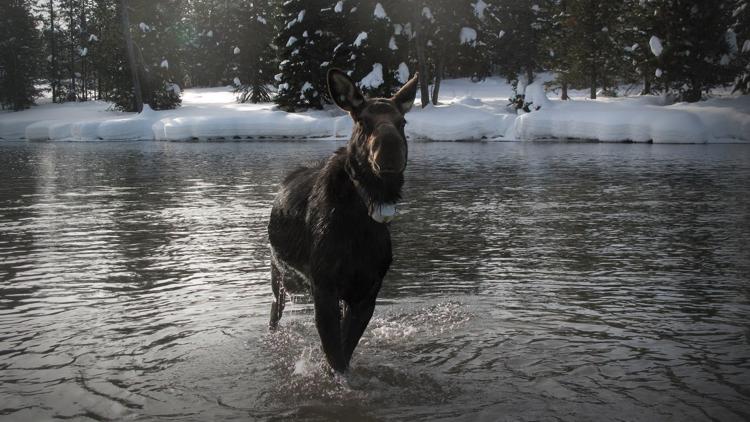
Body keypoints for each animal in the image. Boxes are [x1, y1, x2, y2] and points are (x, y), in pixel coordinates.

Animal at [268, 68, 420, 372]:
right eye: (363, 121)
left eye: (402, 121)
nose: (390, 148)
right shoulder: (324, 287)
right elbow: (335, 357)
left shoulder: (367, 292)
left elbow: (344, 354)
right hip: (283, 278)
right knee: (273, 312)